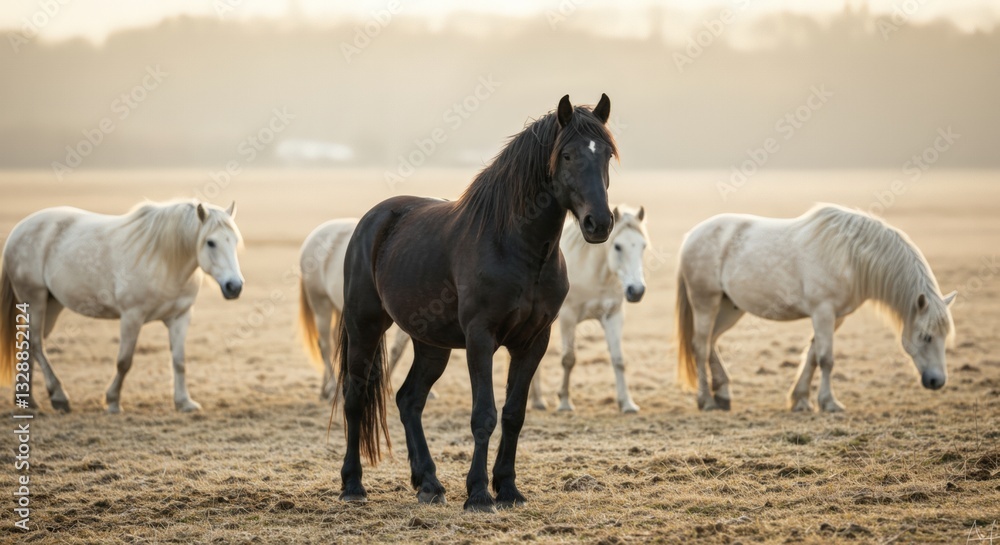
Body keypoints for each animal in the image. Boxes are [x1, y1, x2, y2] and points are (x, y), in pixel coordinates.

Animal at [0, 200, 244, 414]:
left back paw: (28, 401)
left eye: (234, 241)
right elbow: (124, 361)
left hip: (52, 304)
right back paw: (59, 397)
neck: (164, 261)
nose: (234, 286)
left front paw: (184, 403)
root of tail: (19, 229)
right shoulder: (132, 316)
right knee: (36, 344)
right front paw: (113, 402)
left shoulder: (180, 317)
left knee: (28, 344)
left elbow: (179, 361)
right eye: (210, 242)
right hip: (35, 299)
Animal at [298, 218, 414, 401]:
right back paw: (332, 388)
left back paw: (326, 390)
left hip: (339, 308)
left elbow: (398, 349)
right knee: (325, 345)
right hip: (321, 305)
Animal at [334, 94, 617, 512]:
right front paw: (480, 494)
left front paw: (509, 489)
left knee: (409, 400)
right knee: (355, 398)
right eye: (567, 155)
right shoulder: (480, 338)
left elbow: (514, 414)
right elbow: (484, 415)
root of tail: (374, 220)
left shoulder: (534, 341)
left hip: (430, 344)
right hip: (364, 326)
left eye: (607, 155)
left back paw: (429, 483)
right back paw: (353, 485)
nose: (599, 223)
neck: (517, 247)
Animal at [529, 204, 650, 414]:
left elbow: (618, 360)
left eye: (643, 246)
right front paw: (565, 402)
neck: (594, 275)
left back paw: (537, 400)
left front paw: (627, 403)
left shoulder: (613, 316)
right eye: (618, 246)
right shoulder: (568, 317)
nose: (636, 291)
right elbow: (568, 359)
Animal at [675, 204, 956, 412]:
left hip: (728, 308)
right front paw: (829, 403)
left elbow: (812, 355)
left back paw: (723, 395)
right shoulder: (823, 312)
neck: (850, 257)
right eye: (925, 336)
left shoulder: (835, 317)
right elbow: (826, 358)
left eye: (945, 337)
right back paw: (706, 401)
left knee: (711, 342)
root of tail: (691, 236)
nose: (937, 381)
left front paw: (800, 400)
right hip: (705, 302)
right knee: (700, 346)